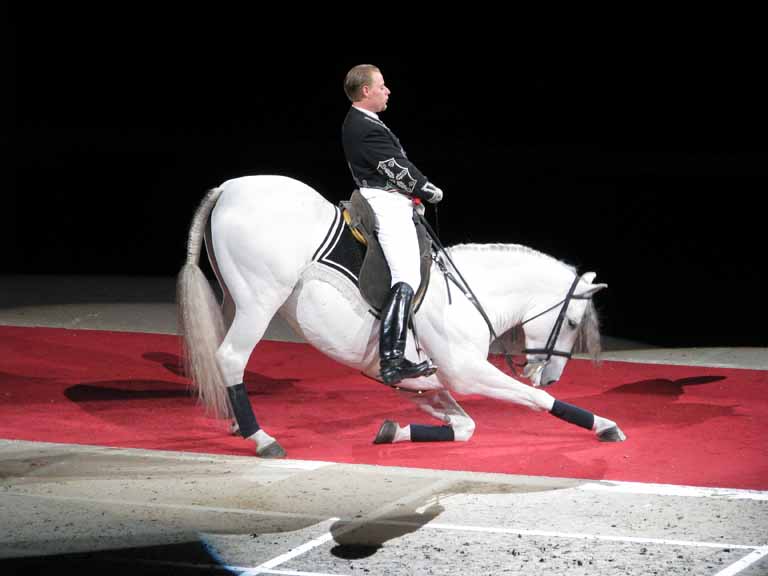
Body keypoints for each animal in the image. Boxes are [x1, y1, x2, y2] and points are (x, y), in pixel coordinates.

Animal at [177, 173, 628, 456]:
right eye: (572, 323)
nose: (551, 375)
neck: (470, 292)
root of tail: (230, 188)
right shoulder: (466, 372)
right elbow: (537, 400)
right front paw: (604, 424)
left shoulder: (426, 385)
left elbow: (465, 427)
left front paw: (394, 431)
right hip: (259, 301)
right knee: (231, 356)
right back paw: (261, 438)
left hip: (234, 299)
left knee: (225, 358)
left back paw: (239, 423)